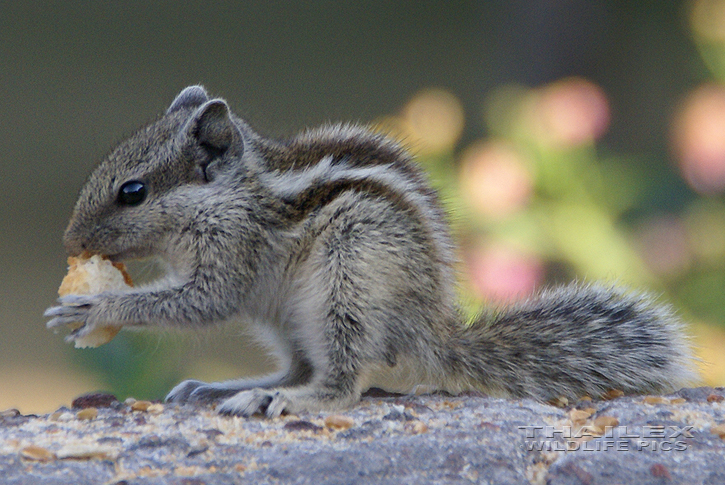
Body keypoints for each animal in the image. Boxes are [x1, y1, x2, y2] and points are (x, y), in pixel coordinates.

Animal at [43, 86, 696, 416]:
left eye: (132, 192)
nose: (71, 243)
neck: (231, 193)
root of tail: (433, 329)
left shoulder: (233, 251)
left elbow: (200, 303)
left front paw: (93, 309)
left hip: (348, 273)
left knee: (339, 379)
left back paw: (278, 398)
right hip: (286, 314)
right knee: (303, 364)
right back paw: (227, 388)